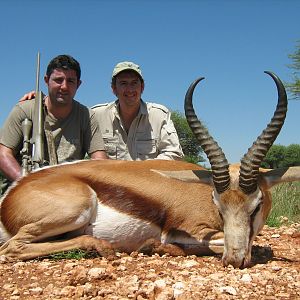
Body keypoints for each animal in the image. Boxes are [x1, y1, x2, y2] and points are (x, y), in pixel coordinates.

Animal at [0, 72, 298, 268]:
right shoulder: (184, 230)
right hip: (77, 208)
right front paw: (154, 245)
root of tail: (11, 195)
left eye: (256, 205)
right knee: (12, 247)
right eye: (218, 205)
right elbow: (216, 244)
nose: (234, 260)